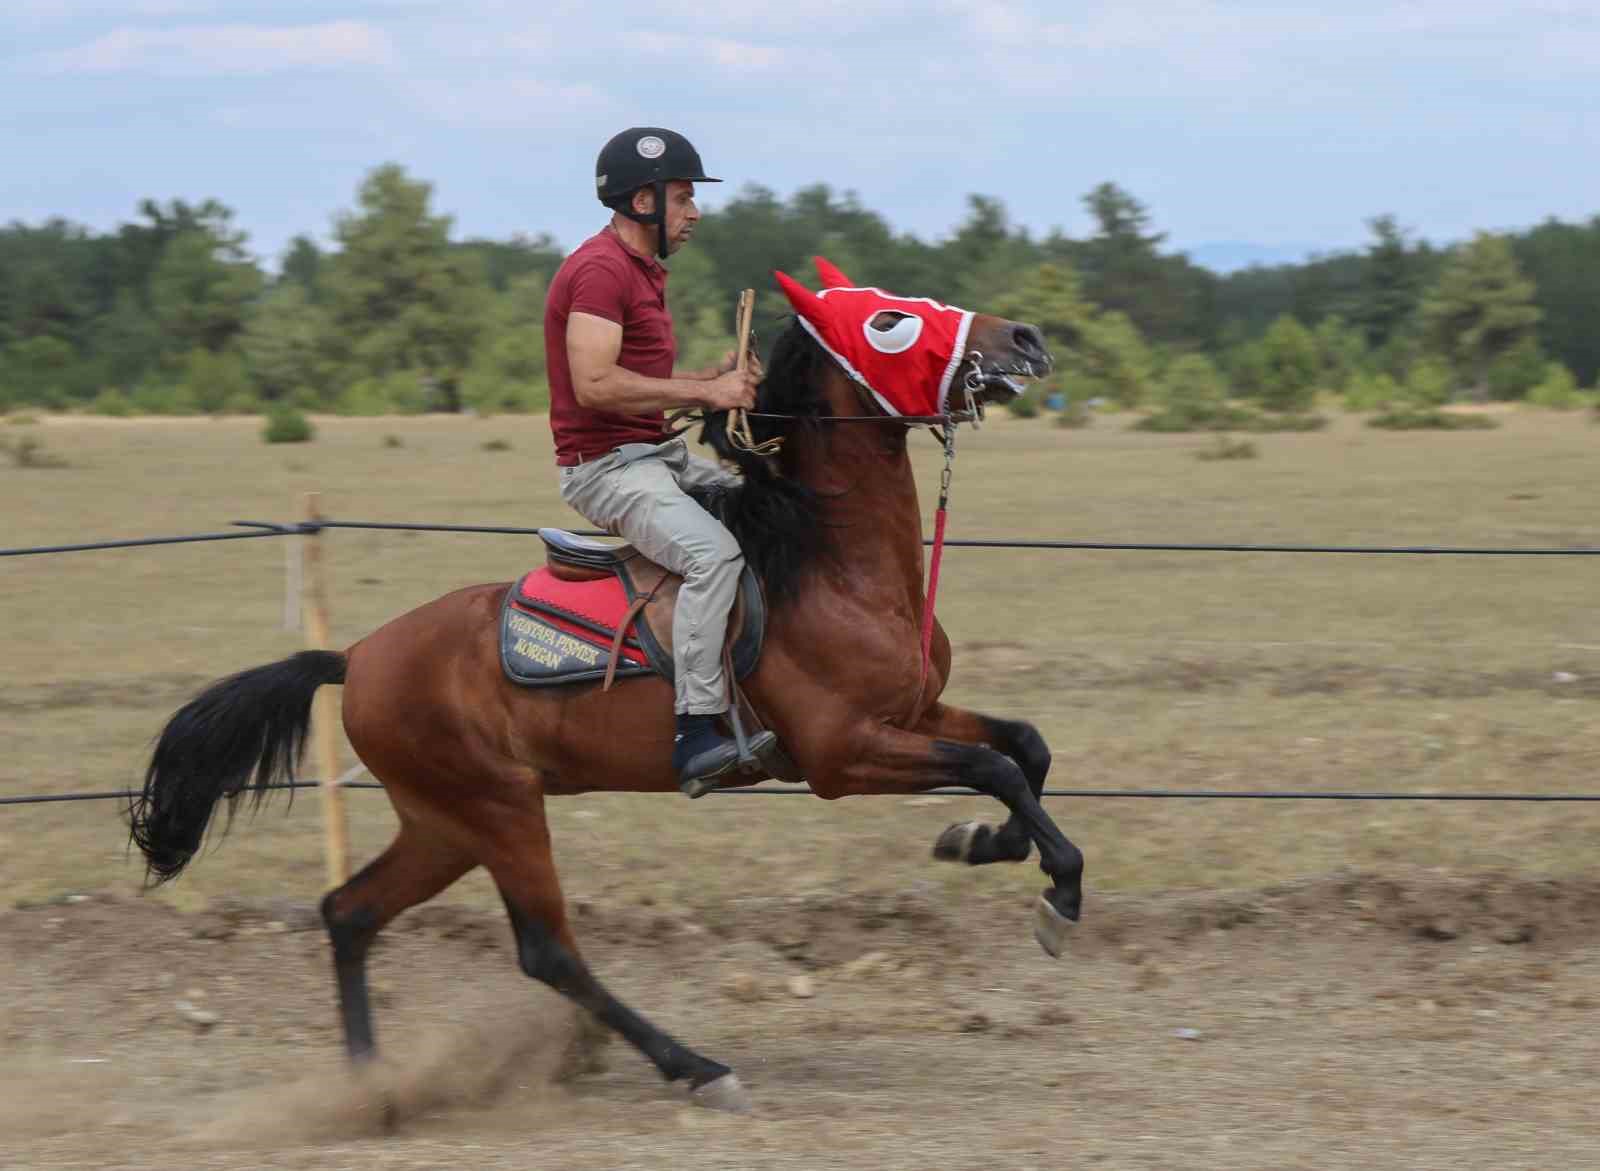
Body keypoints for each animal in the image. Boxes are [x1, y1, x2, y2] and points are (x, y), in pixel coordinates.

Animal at [128, 260, 1088, 1113]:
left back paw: (372, 1088)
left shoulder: (913, 712)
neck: (826, 562)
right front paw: (1060, 892)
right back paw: (696, 1067)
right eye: (889, 320)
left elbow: (1025, 747)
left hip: (442, 823)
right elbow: (996, 766)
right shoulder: (841, 755)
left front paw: (983, 842)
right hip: (500, 810)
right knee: (546, 951)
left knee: (350, 912)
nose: (1026, 337)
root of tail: (358, 656)